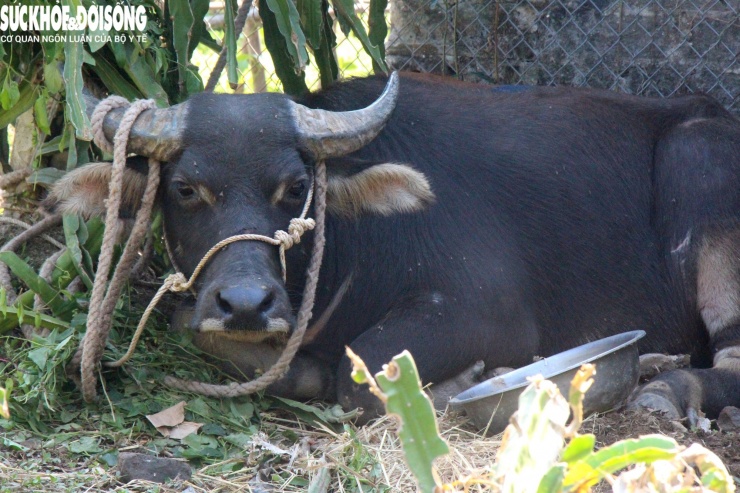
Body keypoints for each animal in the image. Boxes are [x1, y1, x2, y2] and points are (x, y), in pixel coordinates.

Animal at [49, 72, 736, 422]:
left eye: (295, 186)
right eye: (186, 188)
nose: (246, 305)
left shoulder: (485, 312)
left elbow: (364, 379)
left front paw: (470, 382)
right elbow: (190, 327)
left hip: (703, 176)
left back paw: (666, 388)